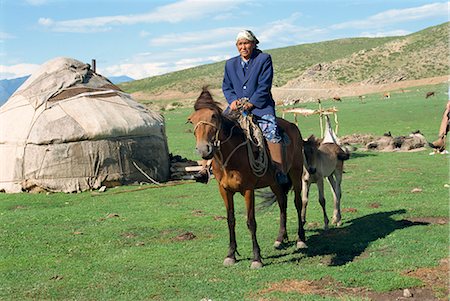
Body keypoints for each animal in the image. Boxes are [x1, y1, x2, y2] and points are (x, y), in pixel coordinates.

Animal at [186, 86, 306, 268]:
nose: (204, 150)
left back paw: (301, 239)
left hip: (296, 173)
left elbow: (251, 222)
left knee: (298, 203)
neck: (230, 160)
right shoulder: (224, 190)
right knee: (282, 203)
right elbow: (230, 220)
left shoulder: (248, 190)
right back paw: (280, 238)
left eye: (213, 116)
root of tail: (293, 127)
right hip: (275, 183)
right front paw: (231, 255)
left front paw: (256, 258)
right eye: (192, 121)